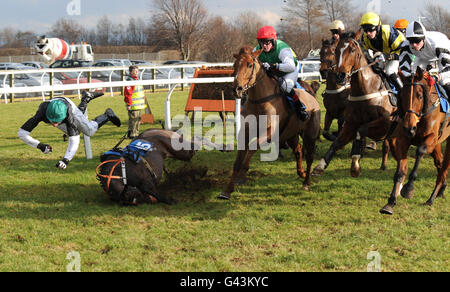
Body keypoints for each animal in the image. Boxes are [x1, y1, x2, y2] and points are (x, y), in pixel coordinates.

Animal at [219, 45, 322, 200]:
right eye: (234, 65)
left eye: (250, 65)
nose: (237, 89)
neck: (259, 100)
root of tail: (312, 97)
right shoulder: (245, 132)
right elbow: (237, 162)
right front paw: (227, 190)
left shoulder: (269, 131)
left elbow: (253, 147)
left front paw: (242, 175)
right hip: (290, 134)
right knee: (298, 150)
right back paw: (301, 172)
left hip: (310, 134)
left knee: (309, 156)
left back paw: (306, 182)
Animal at [312, 31, 396, 178]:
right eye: (321, 52)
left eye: (352, 50)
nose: (339, 75)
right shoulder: (336, 114)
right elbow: (331, 137)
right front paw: (320, 166)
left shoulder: (385, 121)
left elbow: (359, 130)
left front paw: (355, 162)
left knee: (385, 143)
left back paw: (383, 162)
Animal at [380, 68, 450, 214]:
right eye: (402, 96)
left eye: (419, 96)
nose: (409, 127)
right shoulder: (403, 140)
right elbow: (400, 172)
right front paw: (390, 202)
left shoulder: (431, 138)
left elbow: (420, 151)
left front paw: (408, 188)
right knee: (440, 163)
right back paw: (440, 191)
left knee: (444, 166)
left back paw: (431, 198)